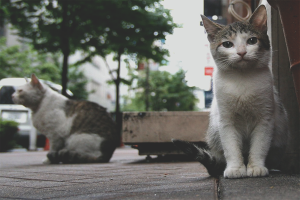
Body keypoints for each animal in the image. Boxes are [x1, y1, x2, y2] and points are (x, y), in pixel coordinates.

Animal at [172, 5, 290, 178]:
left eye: (252, 40)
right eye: (227, 44)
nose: (241, 52)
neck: (242, 78)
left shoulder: (265, 118)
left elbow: (259, 145)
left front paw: (256, 166)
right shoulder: (226, 120)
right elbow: (231, 147)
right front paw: (235, 168)